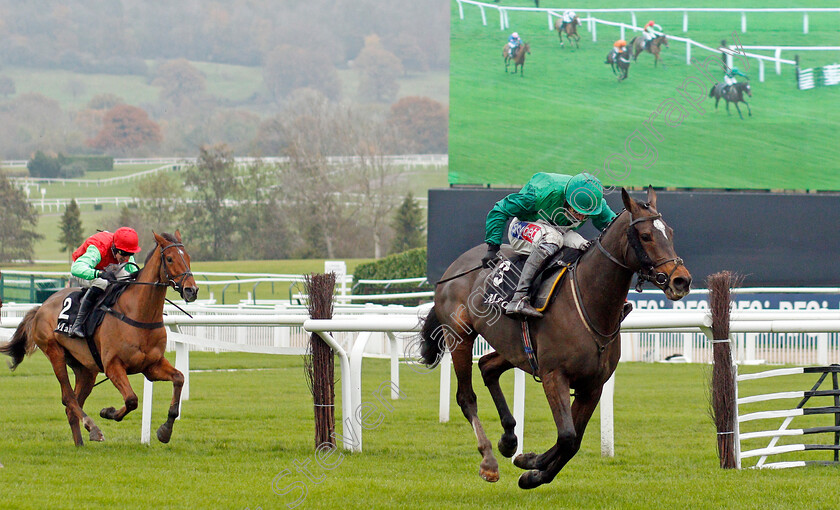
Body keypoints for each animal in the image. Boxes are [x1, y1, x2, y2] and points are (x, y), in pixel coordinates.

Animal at [0, 232, 199, 446]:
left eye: (188, 257)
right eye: (169, 258)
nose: (191, 290)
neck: (139, 314)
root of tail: (41, 307)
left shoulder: (151, 365)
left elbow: (179, 378)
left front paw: (165, 430)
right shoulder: (113, 366)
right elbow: (131, 399)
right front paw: (108, 412)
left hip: (86, 369)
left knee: (72, 405)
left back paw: (80, 443)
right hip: (55, 353)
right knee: (69, 398)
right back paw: (93, 428)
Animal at [418, 188, 688, 490]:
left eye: (670, 233)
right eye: (645, 236)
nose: (681, 280)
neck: (590, 303)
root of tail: (451, 270)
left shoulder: (593, 385)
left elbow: (574, 441)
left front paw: (532, 470)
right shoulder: (554, 375)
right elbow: (567, 436)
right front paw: (532, 463)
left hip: (516, 349)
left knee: (487, 367)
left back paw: (509, 439)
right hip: (460, 337)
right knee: (466, 397)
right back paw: (488, 460)